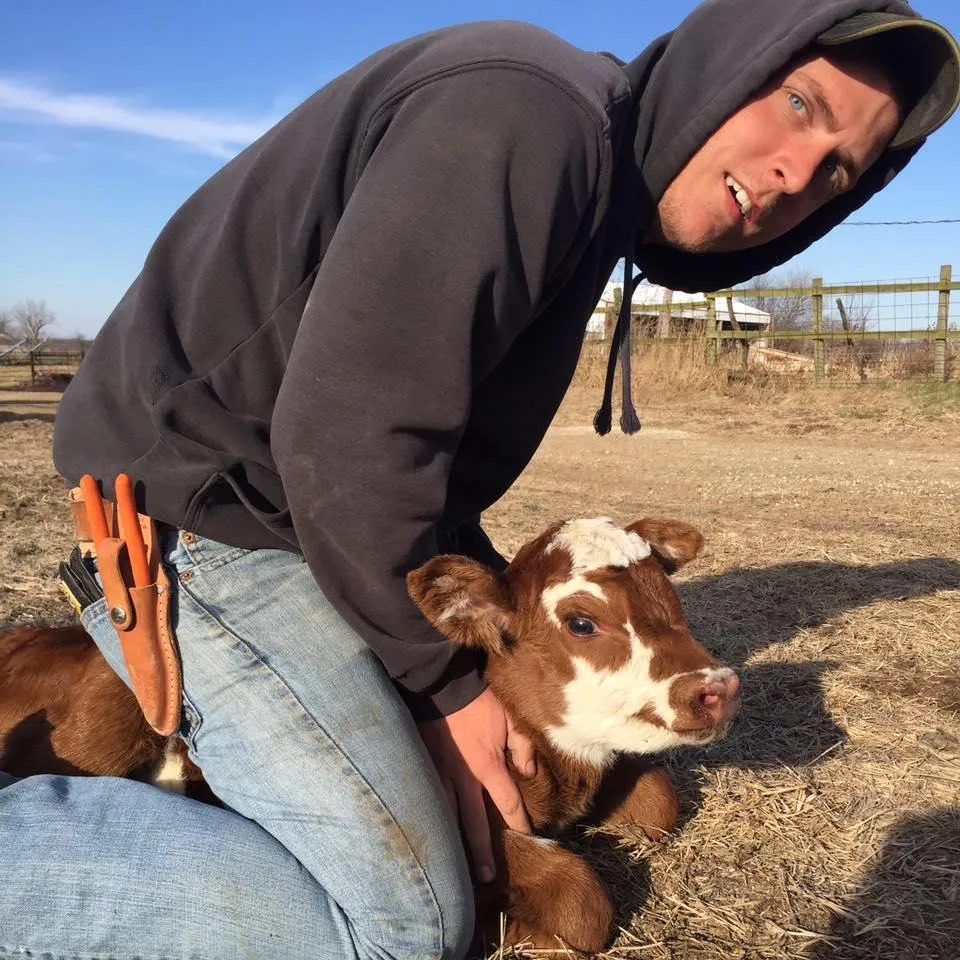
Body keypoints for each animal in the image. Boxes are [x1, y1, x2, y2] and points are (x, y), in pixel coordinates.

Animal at [0, 520, 740, 956]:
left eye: (667, 595)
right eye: (582, 621)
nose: (717, 686)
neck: (561, 780)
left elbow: (660, 802)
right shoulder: (477, 833)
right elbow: (582, 903)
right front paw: (507, 928)